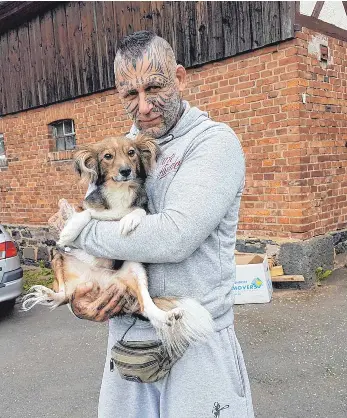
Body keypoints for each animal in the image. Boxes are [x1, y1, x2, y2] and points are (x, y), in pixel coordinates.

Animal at [23, 136, 213, 354]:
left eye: (131, 152)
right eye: (107, 156)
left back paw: (167, 316)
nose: (125, 171)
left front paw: (128, 220)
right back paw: (48, 293)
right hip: (58, 257)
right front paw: (69, 230)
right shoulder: (85, 206)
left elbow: (138, 210)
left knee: (147, 307)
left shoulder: (144, 210)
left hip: (136, 269)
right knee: (63, 295)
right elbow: (84, 213)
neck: (119, 192)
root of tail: (99, 283)